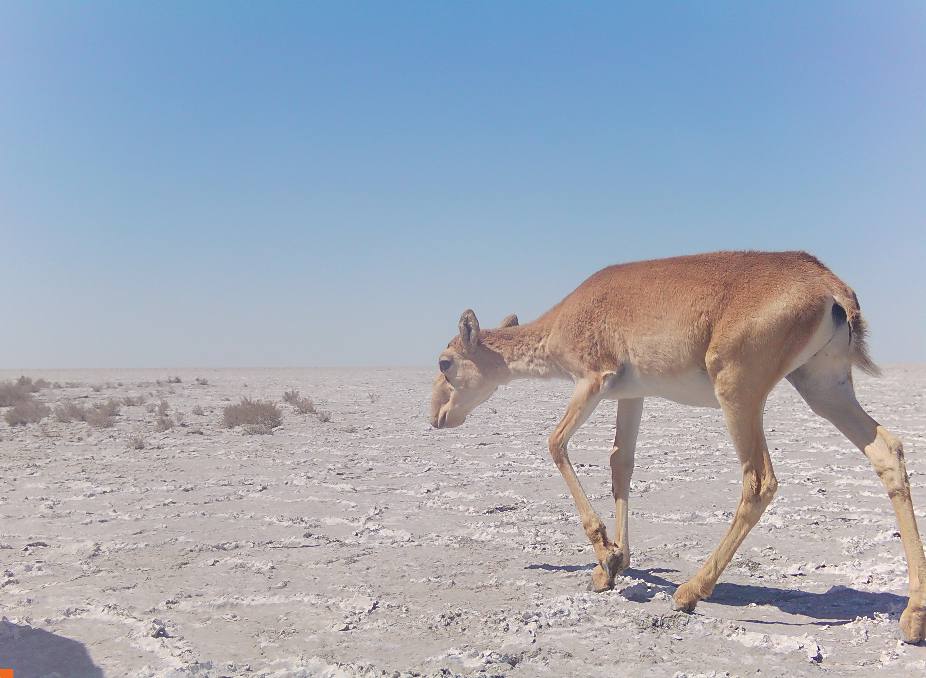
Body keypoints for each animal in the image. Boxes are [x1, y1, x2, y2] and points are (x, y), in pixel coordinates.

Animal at [432, 252, 926, 644]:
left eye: (445, 362)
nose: (435, 415)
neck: (566, 318)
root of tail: (830, 285)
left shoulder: (592, 381)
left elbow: (555, 444)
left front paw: (606, 556)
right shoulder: (631, 396)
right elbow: (620, 462)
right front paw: (614, 564)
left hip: (739, 392)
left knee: (759, 480)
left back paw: (689, 591)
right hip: (823, 389)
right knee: (888, 450)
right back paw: (913, 617)